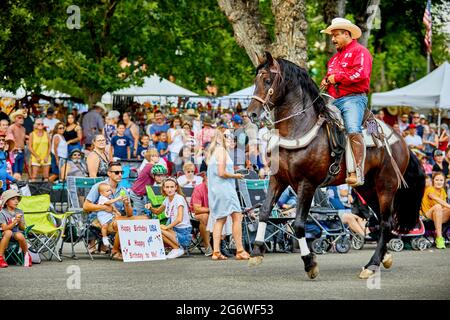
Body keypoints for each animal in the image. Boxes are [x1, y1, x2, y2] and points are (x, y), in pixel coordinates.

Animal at [246, 51, 426, 278]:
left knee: (386, 222)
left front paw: (309, 263)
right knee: (382, 220)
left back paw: (372, 265)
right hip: (367, 188)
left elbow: (298, 224)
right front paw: (256, 252)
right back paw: (383, 257)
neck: (298, 129)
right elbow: (264, 211)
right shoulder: (278, 179)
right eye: (255, 80)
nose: (251, 114)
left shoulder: (307, 184)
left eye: (268, 80)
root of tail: (402, 142)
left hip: (386, 185)